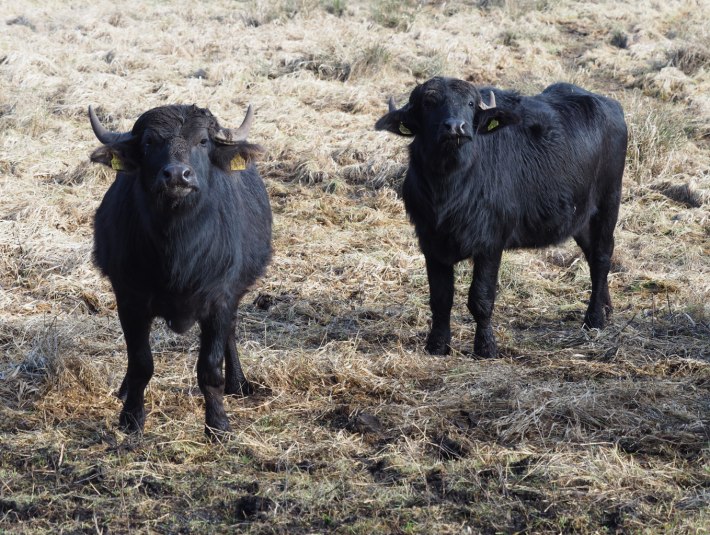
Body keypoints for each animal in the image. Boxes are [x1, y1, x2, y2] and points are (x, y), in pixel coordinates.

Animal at [89, 104, 272, 440]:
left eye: (203, 141)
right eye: (149, 142)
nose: (177, 175)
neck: (177, 250)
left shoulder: (220, 298)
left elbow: (210, 367)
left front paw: (218, 425)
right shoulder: (129, 299)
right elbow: (140, 363)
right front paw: (131, 418)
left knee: (231, 331)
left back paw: (238, 383)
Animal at [378, 77, 628, 358]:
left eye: (470, 103)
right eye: (429, 103)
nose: (455, 127)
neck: (449, 188)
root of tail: (611, 107)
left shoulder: (490, 243)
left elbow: (481, 297)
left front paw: (485, 347)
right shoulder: (431, 243)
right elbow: (440, 298)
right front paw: (437, 345)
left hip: (608, 203)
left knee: (602, 257)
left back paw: (594, 318)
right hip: (581, 218)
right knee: (592, 257)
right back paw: (606, 309)